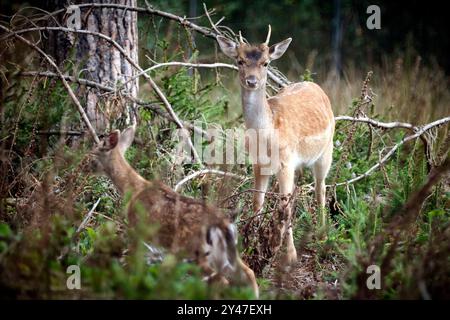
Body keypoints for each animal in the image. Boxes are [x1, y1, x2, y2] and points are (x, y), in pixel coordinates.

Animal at [89, 125, 258, 298]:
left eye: (92, 154)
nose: (84, 166)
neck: (134, 189)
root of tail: (222, 225)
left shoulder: (139, 229)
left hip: (194, 251)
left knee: (221, 280)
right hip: (225, 253)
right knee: (249, 273)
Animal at [216, 26, 336, 264]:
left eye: (265, 63)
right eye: (240, 61)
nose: (252, 81)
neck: (267, 135)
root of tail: (316, 85)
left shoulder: (285, 162)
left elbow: (283, 208)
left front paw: (290, 256)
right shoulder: (258, 164)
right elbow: (257, 201)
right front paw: (249, 245)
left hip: (326, 152)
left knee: (321, 189)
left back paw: (322, 234)